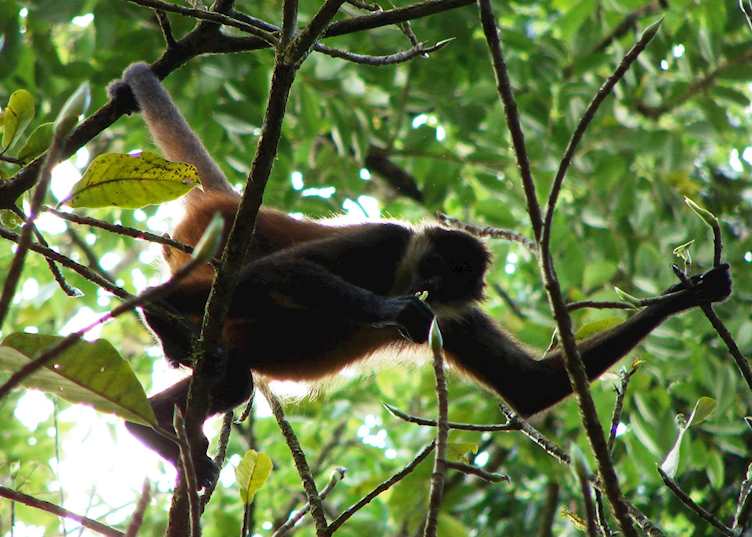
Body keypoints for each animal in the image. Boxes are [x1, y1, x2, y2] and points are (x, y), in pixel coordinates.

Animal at [108, 63, 732, 487]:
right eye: (429, 266)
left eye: (449, 280)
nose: (421, 290)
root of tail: (234, 201)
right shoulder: (387, 242)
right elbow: (279, 271)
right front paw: (394, 311)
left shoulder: (456, 314)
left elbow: (530, 387)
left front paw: (692, 292)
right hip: (211, 243)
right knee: (240, 282)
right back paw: (158, 308)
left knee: (234, 373)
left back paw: (154, 426)